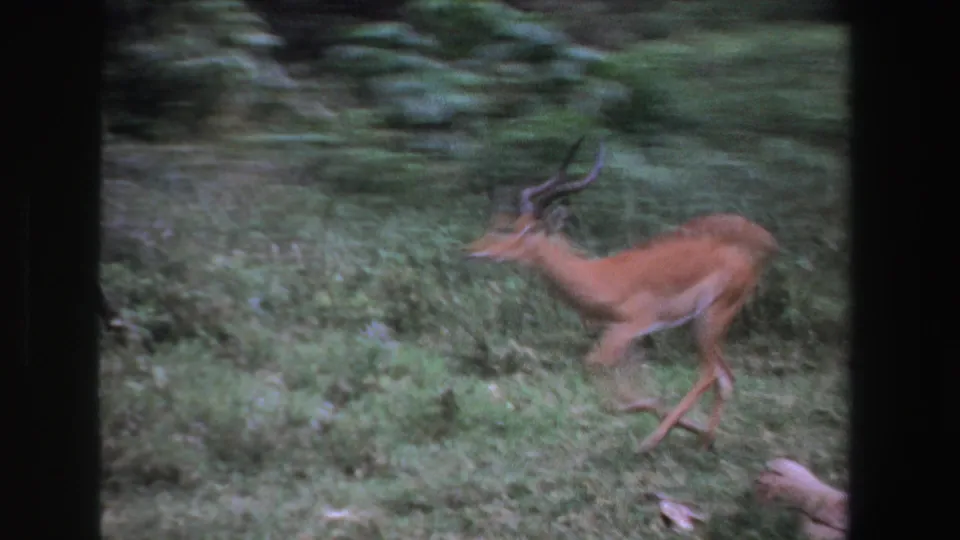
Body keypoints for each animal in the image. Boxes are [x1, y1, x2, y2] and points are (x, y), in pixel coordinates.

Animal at [464, 137, 778, 453]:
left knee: (710, 373)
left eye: (524, 229)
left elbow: (598, 374)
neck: (603, 278)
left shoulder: (628, 328)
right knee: (725, 378)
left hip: (710, 317)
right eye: (509, 223)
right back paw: (705, 439)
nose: (473, 250)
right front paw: (682, 422)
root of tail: (766, 244)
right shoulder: (622, 337)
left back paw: (652, 441)